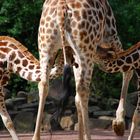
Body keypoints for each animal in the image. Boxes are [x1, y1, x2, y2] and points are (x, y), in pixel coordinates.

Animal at [33, 0, 133, 140]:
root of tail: (61, 9)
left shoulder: (75, 56)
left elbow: (75, 98)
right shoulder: (110, 36)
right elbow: (127, 70)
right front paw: (119, 124)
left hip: (46, 48)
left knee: (43, 84)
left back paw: (36, 136)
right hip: (87, 49)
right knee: (83, 89)